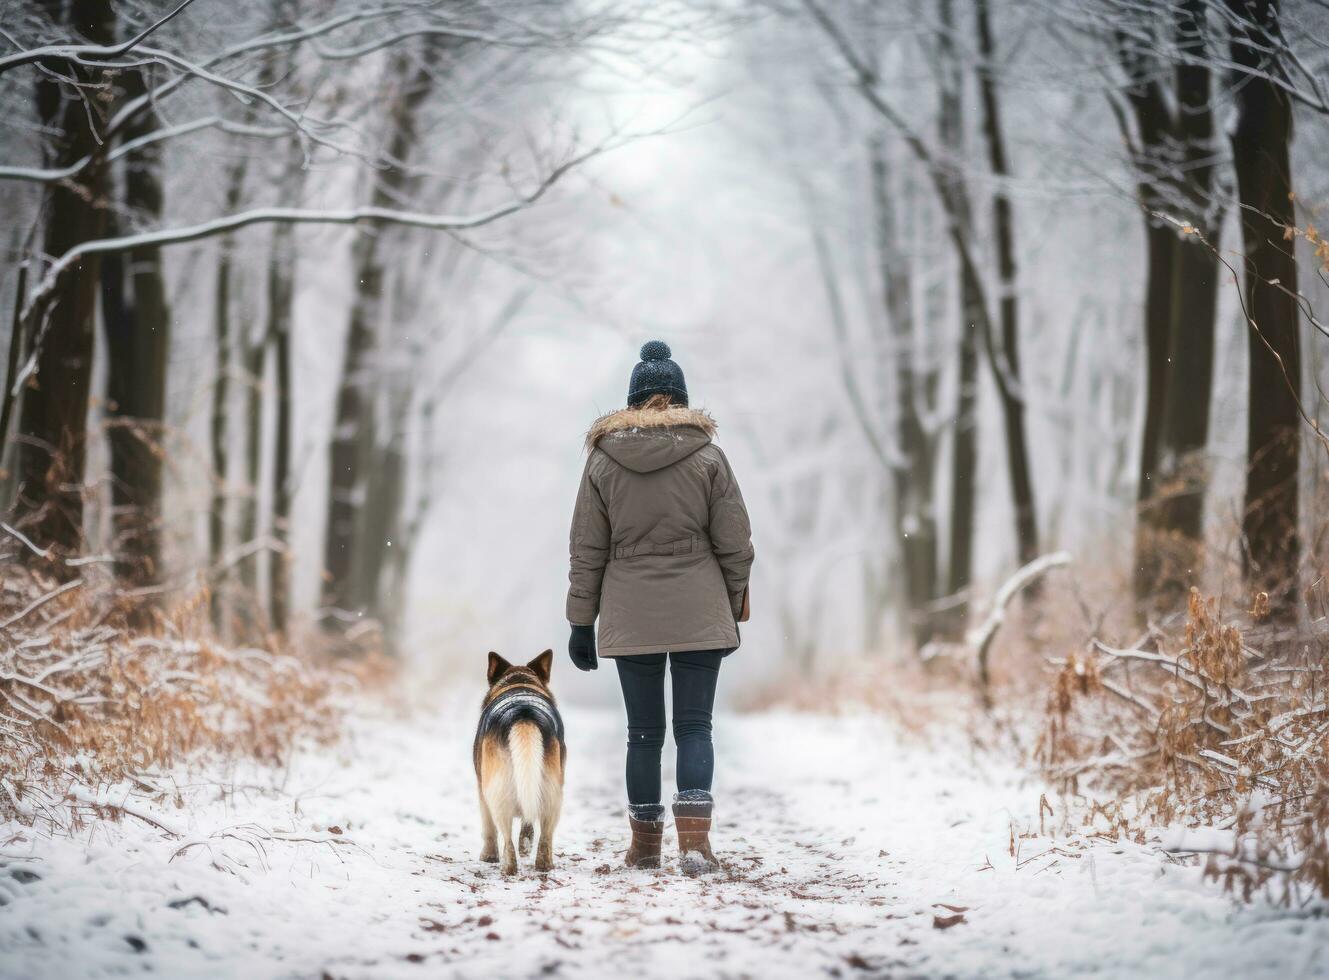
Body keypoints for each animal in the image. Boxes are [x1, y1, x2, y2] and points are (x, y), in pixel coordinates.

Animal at [473, 648, 566, 872]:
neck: (520, 683)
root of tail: (524, 712)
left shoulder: (482, 790)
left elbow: (488, 828)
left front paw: (488, 856)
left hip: (497, 792)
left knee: (506, 838)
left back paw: (508, 868)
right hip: (553, 793)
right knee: (545, 836)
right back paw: (544, 865)